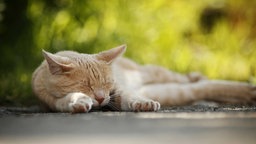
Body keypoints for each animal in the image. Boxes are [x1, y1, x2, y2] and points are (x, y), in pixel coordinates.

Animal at [32, 44, 256, 112]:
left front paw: (143, 104)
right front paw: (79, 101)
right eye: (85, 85)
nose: (100, 98)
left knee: (190, 80)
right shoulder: (49, 101)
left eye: (107, 83)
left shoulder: (118, 91)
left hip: (155, 74)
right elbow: (64, 101)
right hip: (172, 92)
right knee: (200, 89)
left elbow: (130, 97)